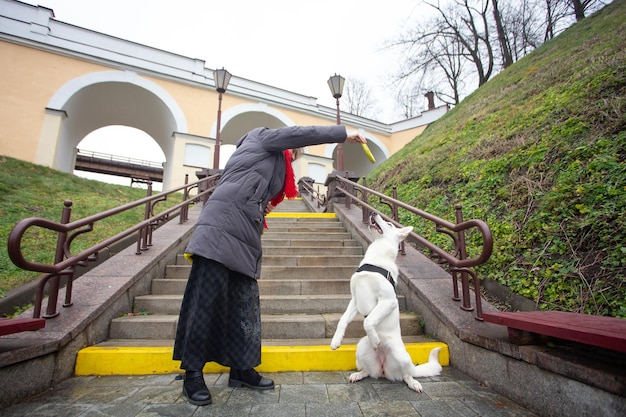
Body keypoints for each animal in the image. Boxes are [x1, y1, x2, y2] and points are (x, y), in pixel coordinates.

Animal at [330, 213, 442, 392]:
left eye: (389, 223)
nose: (373, 213)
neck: (376, 258)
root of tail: (383, 369)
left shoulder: (388, 301)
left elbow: (368, 321)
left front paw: (376, 340)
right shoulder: (355, 301)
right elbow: (342, 320)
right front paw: (336, 340)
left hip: (400, 355)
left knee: (406, 374)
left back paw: (413, 382)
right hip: (361, 348)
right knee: (368, 371)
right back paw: (358, 374)